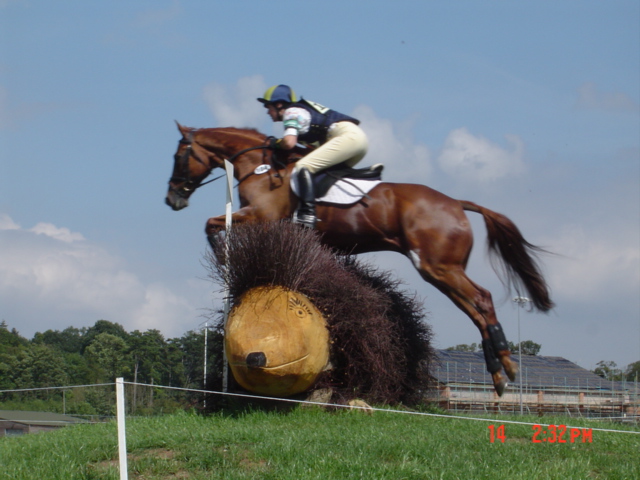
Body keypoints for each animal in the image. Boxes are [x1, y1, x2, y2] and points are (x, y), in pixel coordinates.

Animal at [166, 122, 556, 396]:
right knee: (476, 309)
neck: (259, 165)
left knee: (482, 300)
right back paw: (499, 374)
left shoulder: (262, 216)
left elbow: (211, 224)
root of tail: (456, 203)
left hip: (438, 267)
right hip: (441, 270)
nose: (172, 198)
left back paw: (507, 366)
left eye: (178, 156)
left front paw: (223, 260)